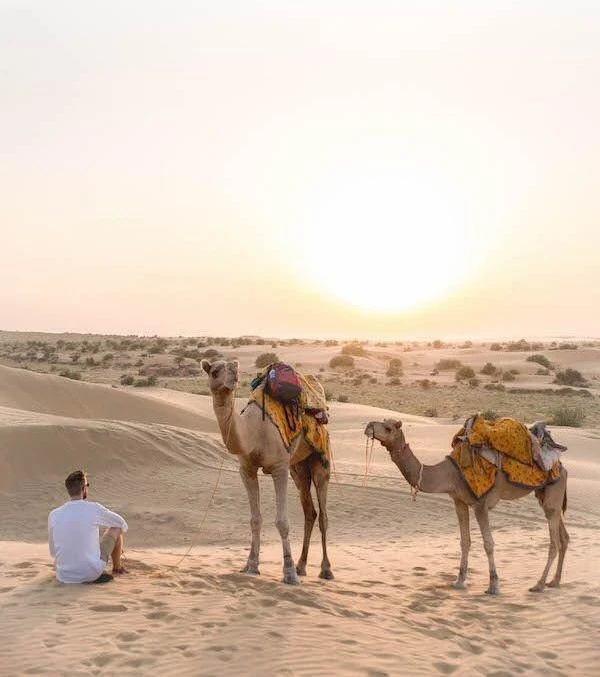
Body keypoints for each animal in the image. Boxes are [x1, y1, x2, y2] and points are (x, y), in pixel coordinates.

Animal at [202, 356, 332, 584]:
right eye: (215, 371)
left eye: (235, 368)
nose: (233, 375)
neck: (253, 431)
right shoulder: (247, 469)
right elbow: (255, 519)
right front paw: (251, 566)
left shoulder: (279, 467)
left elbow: (282, 522)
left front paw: (288, 573)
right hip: (298, 468)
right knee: (310, 512)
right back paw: (301, 566)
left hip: (320, 457)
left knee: (323, 514)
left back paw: (325, 570)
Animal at [366, 418, 568, 592]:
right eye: (383, 422)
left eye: (388, 428)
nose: (368, 426)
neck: (450, 473)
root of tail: (562, 466)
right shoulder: (459, 501)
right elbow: (465, 541)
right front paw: (459, 580)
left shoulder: (480, 504)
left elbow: (488, 544)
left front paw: (493, 585)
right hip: (545, 495)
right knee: (564, 537)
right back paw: (554, 581)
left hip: (553, 493)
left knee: (554, 542)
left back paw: (539, 584)